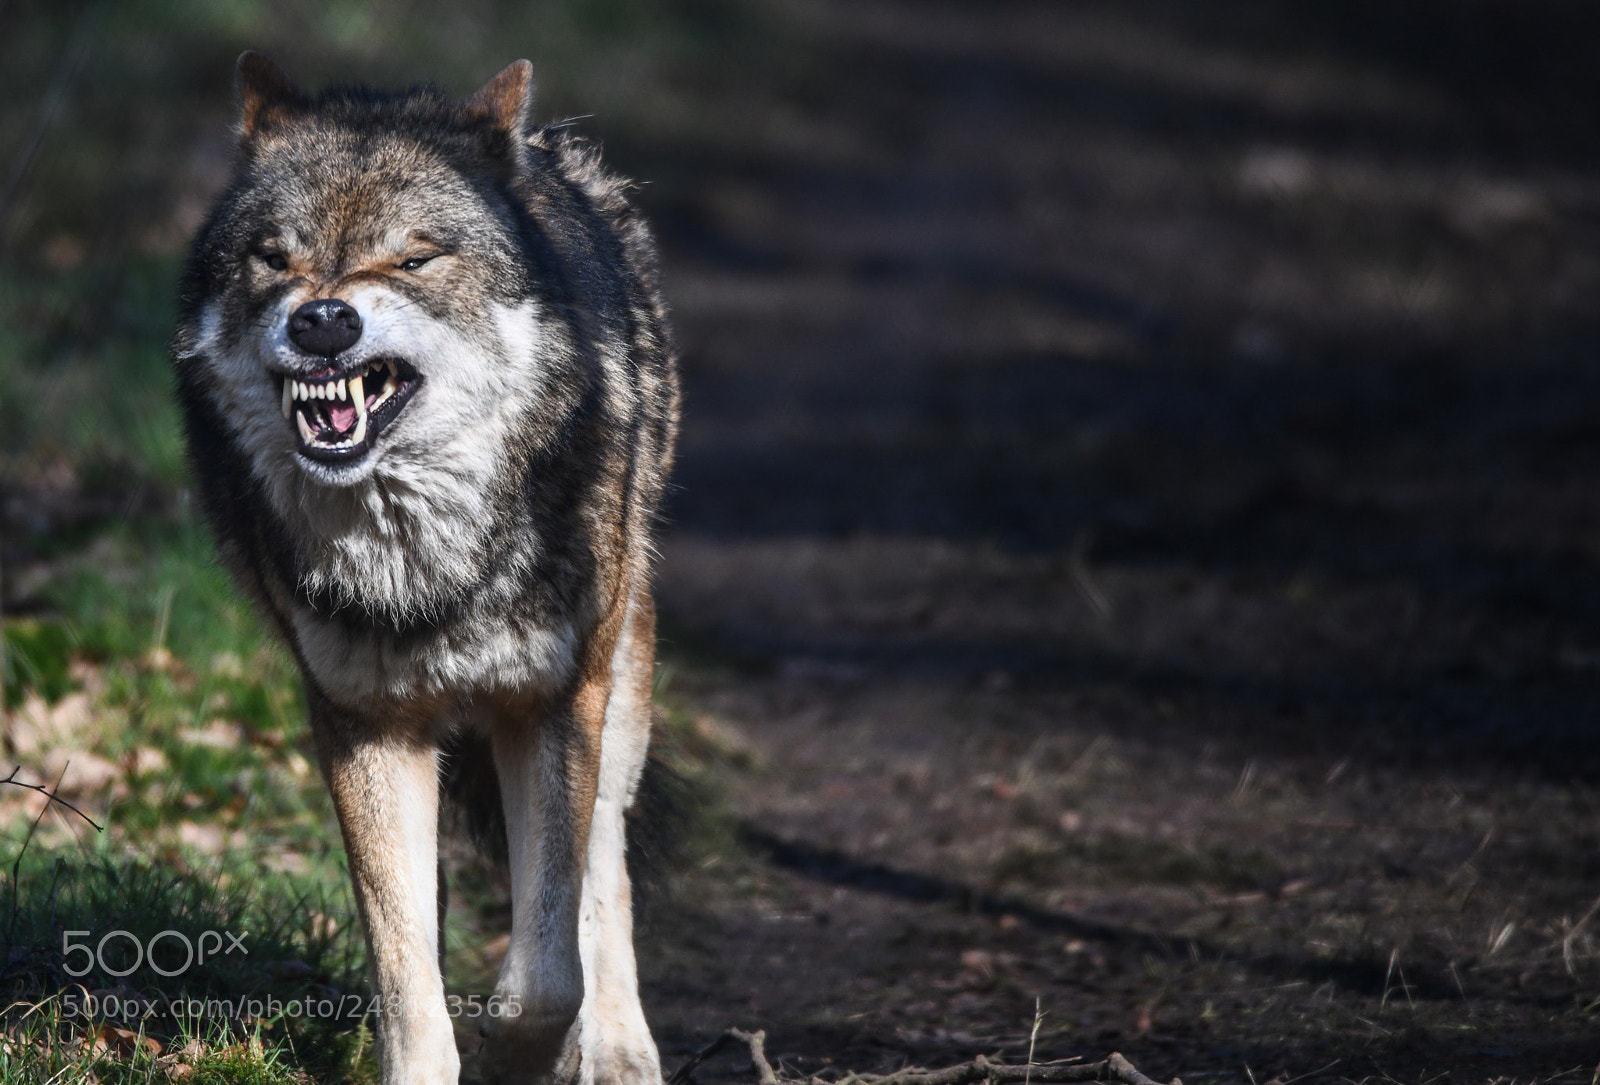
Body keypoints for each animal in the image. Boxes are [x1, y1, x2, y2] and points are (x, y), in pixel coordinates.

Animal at [172, 52, 678, 1085]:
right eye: (274, 259)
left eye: (414, 259)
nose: (323, 319)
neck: (424, 562)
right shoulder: (365, 726)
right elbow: (405, 968)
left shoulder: (551, 704)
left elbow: (550, 963)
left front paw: (522, 1052)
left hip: (620, 679)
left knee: (604, 859)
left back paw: (618, 1047)